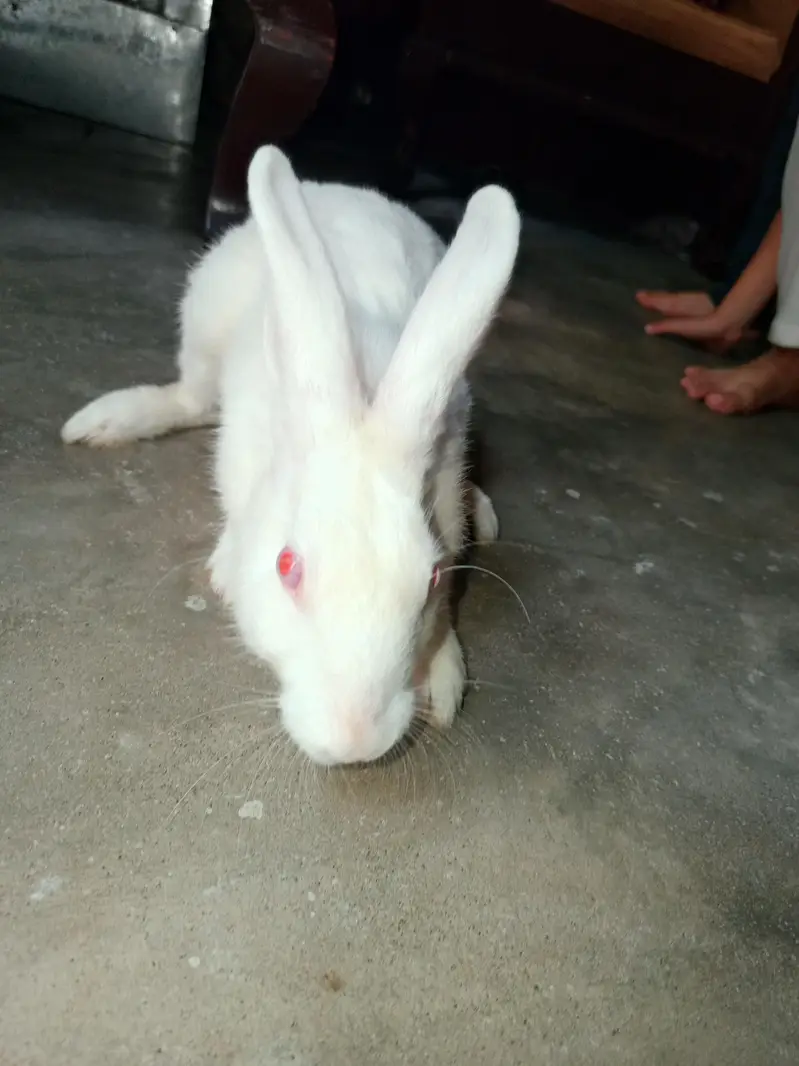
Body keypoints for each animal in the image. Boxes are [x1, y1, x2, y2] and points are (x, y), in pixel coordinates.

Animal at [62, 145, 520, 765]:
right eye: (286, 566)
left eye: (429, 577)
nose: (355, 740)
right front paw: (226, 565)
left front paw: (444, 678)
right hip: (203, 324)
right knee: (190, 397)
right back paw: (110, 420)